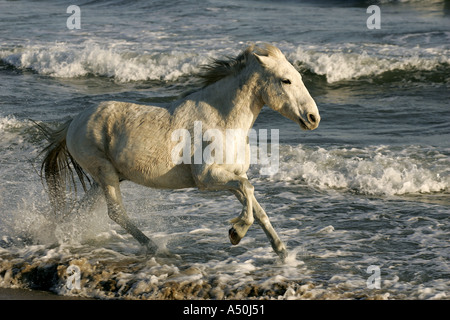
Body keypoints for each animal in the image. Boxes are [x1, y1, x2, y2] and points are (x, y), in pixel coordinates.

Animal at [38, 43, 320, 260]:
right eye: (286, 80)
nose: (313, 118)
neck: (223, 120)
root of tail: (73, 122)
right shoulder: (207, 178)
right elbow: (248, 190)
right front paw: (236, 233)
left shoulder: (232, 175)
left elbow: (257, 207)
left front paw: (283, 252)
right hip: (104, 173)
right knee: (116, 212)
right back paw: (157, 248)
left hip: (107, 178)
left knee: (82, 209)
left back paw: (61, 237)